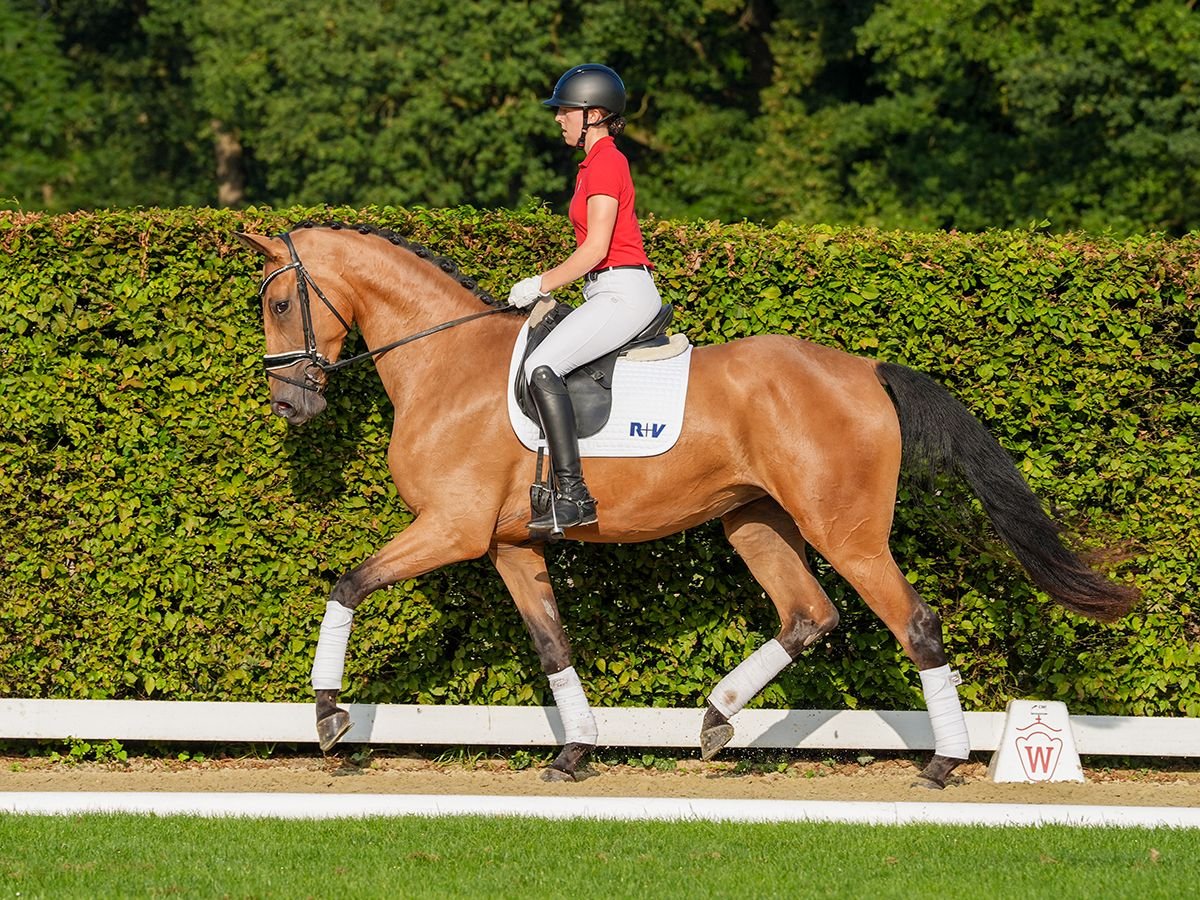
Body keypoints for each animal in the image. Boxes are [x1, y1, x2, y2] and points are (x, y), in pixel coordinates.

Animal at [238, 220, 1137, 787]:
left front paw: (327, 717)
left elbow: (347, 586)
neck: (444, 361)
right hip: (755, 520)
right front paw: (574, 753)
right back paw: (713, 719)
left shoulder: (450, 530)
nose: (289, 405)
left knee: (913, 622)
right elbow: (553, 645)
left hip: (844, 531)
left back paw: (943, 763)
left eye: (278, 303)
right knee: (808, 614)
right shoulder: (507, 545)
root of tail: (865, 369)